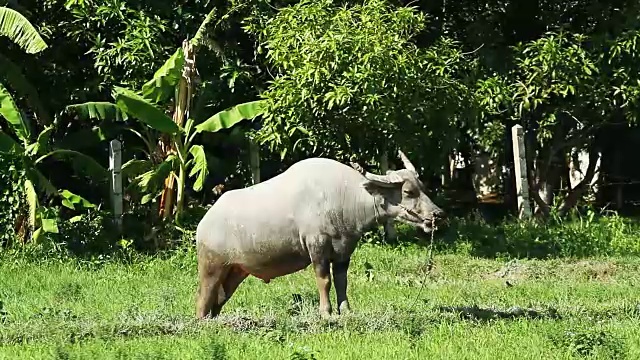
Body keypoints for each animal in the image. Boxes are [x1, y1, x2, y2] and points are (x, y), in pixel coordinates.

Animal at [195, 149, 444, 318]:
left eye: (423, 188)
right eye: (408, 192)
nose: (438, 214)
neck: (343, 196)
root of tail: (204, 223)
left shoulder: (344, 250)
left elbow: (342, 281)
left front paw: (345, 310)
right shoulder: (317, 246)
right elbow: (324, 280)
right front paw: (326, 312)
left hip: (235, 271)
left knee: (218, 299)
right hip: (211, 267)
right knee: (203, 298)